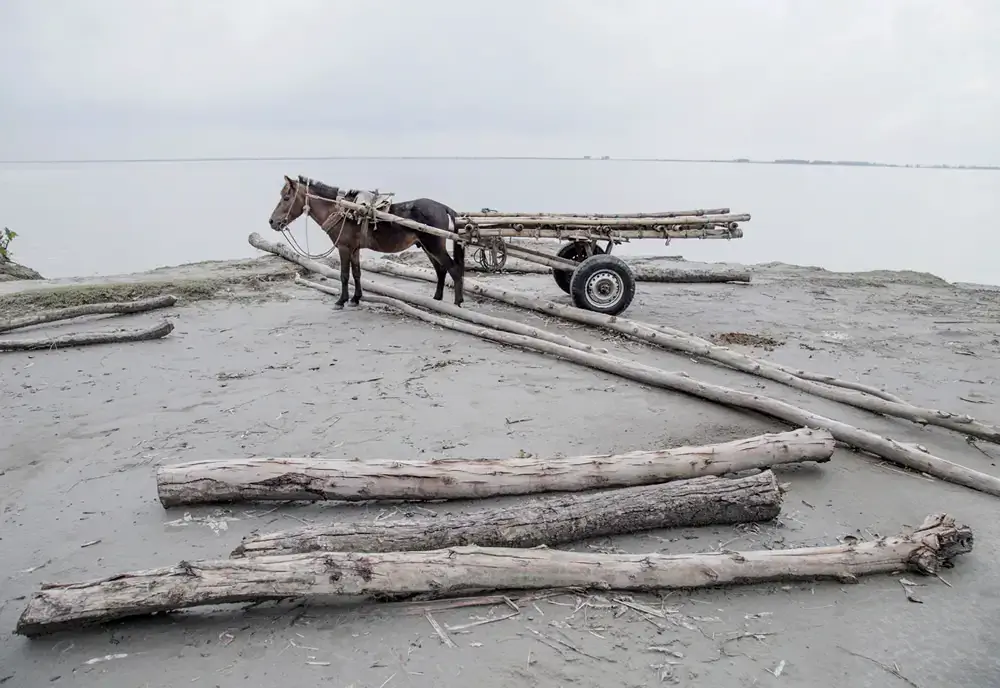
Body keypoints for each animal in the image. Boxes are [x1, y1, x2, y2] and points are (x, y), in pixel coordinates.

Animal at [268, 176, 466, 308]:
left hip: (434, 246)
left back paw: (458, 303)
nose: (271, 222)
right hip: (427, 247)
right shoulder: (354, 249)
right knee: (441, 270)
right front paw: (356, 298)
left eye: (286, 198)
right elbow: (357, 273)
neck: (341, 210)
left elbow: (344, 275)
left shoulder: (343, 248)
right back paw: (437, 298)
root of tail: (443, 207)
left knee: (454, 270)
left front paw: (341, 300)